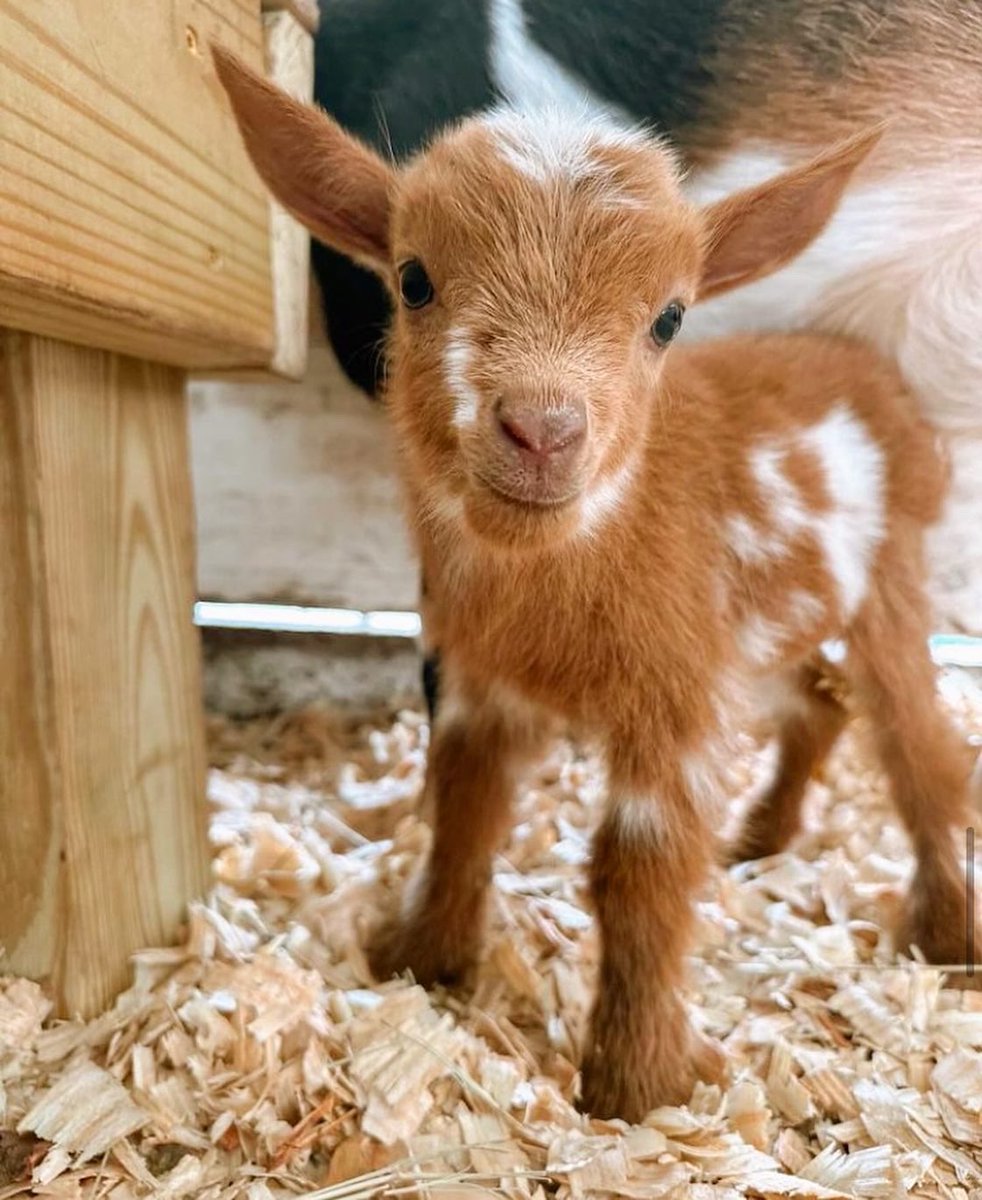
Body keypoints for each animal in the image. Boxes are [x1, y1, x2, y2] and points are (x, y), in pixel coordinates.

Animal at [216, 44, 979, 1113]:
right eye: (414, 279)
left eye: (669, 317)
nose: (543, 430)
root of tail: (876, 376)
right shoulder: (481, 682)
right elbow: (464, 810)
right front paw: (421, 954)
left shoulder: (673, 702)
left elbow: (638, 872)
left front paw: (637, 1081)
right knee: (817, 704)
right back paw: (762, 836)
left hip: (886, 580)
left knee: (921, 745)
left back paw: (947, 933)